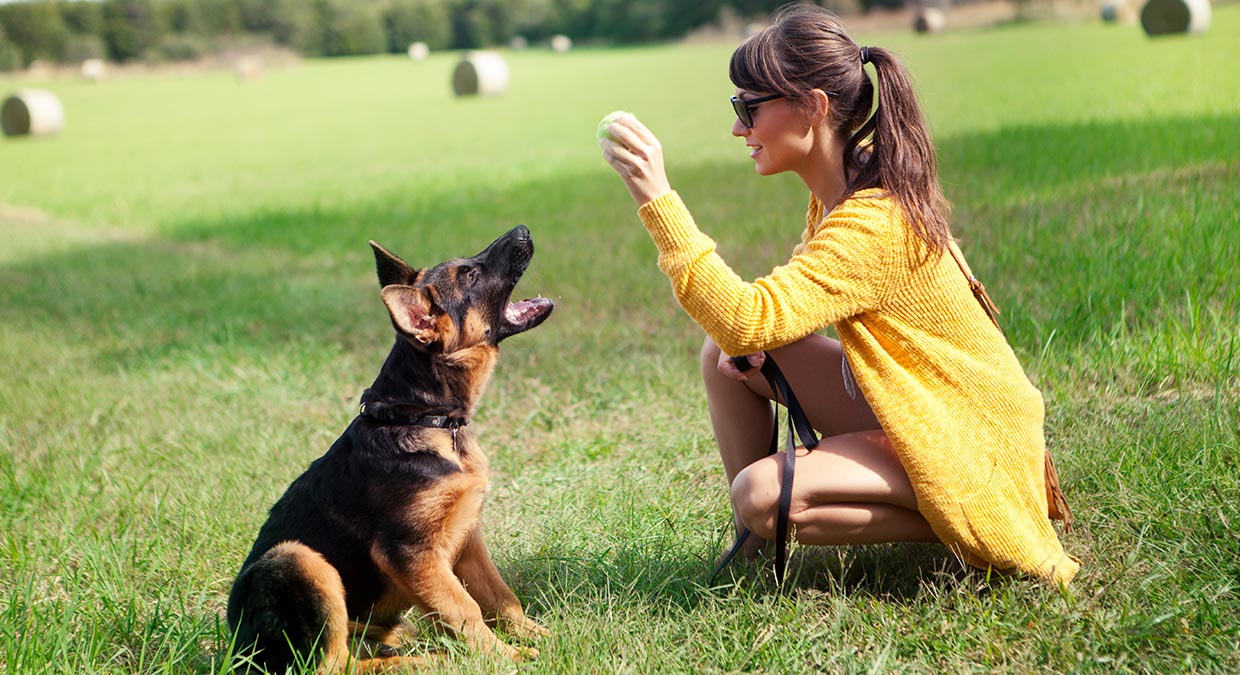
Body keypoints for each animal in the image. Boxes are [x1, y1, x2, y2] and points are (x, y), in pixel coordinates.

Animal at [226, 228, 553, 675]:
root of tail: (238, 650)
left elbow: (500, 598)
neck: (425, 418)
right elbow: (464, 609)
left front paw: (539, 637)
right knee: (336, 665)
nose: (523, 230)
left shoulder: (467, 539)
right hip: (298, 561)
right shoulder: (410, 553)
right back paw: (429, 661)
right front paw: (504, 657)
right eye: (470, 275)